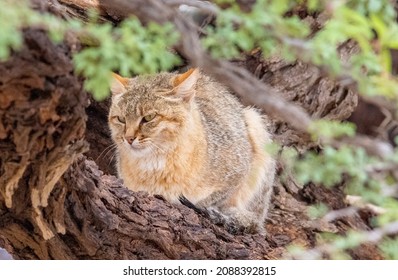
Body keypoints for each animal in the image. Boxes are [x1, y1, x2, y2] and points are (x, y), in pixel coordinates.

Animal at [109, 68, 276, 234]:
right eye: (121, 119)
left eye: (149, 117)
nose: (128, 138)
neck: (154, 165)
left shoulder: (238, 172)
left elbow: (210, 200)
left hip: (256, 124)